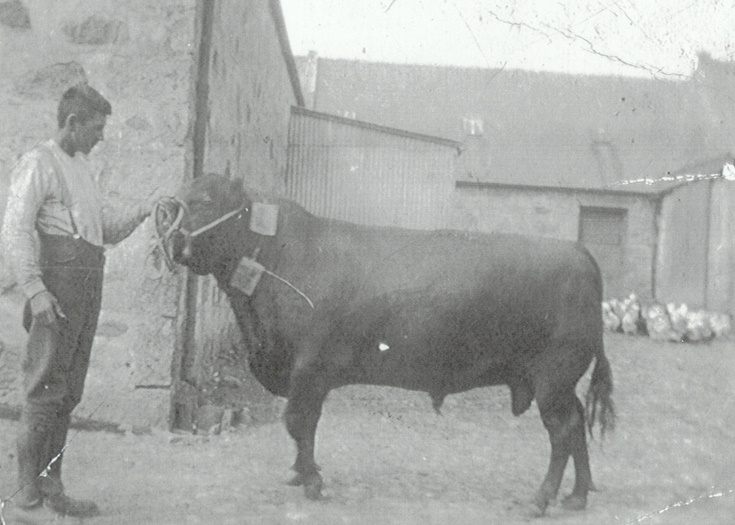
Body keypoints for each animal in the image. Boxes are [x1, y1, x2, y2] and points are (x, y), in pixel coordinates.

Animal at [155, 174, 616, 512]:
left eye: (206, 198)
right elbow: (305, 426)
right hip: (560, 382)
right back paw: (578, 495)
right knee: (577, 424)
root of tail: (577, 252)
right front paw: (300, 472)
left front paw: (313, 482)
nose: (163, 217)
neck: (277, 255)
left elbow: (298, 421)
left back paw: (541, 500)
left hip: (552, 377)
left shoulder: (309, 366)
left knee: (563, 431)